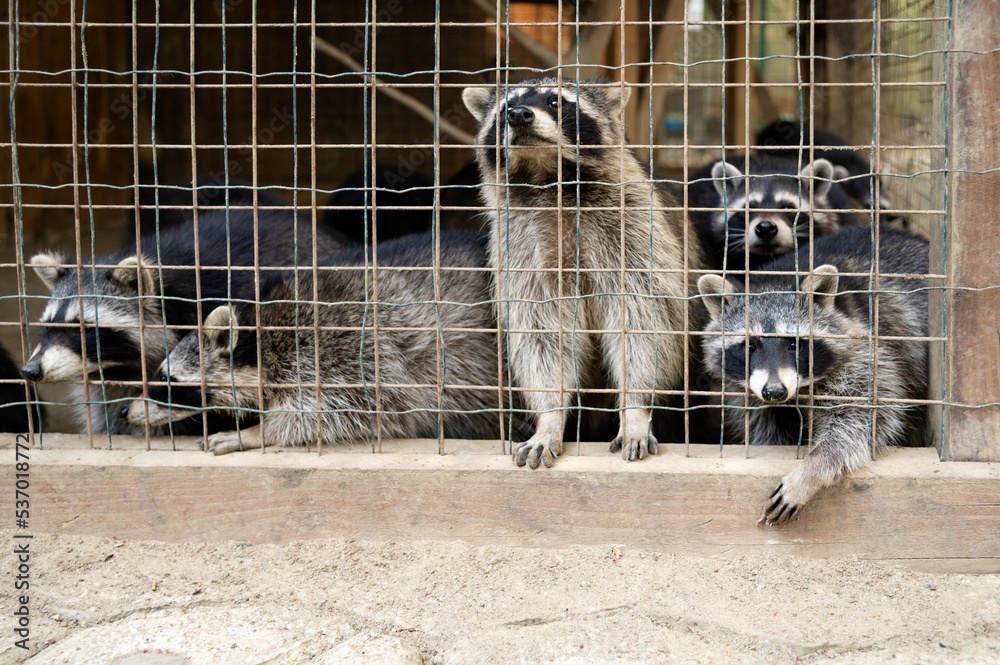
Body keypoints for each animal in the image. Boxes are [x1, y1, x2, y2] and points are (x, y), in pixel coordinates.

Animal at [121, 232, 512, 452]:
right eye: (159, 372)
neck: (262, 339)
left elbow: (334, 411)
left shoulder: (349, 353)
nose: (127, 411)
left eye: (168, 381)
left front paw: (257, 432)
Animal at [462, 77, 697, 468]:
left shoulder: (634, 229)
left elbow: (643, 322)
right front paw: (549, 417)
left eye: (555, 101)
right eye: (506, 107)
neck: (548, 177)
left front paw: (635, 408)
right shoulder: (521, 250)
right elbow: (541, 334)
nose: (518, 115)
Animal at [697, 226, 929, 524]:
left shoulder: (867, 351)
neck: (781, 276)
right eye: (750, 346)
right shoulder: (749, 391)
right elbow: (767, 425)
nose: (775, 392)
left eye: (794, 344)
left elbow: (861, 415)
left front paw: (813, 468)